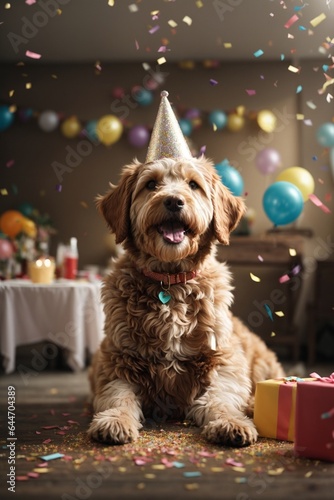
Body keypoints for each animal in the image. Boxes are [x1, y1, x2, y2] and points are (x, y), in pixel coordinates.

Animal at [88, 155, 284, 446]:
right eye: (151, 184)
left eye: (193, 185)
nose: (173, 201)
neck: (171, 284)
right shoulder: (117, 361)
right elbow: (119, 397)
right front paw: (115, 420)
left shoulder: (224, 361)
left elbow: (220, 397)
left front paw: (230, 421)